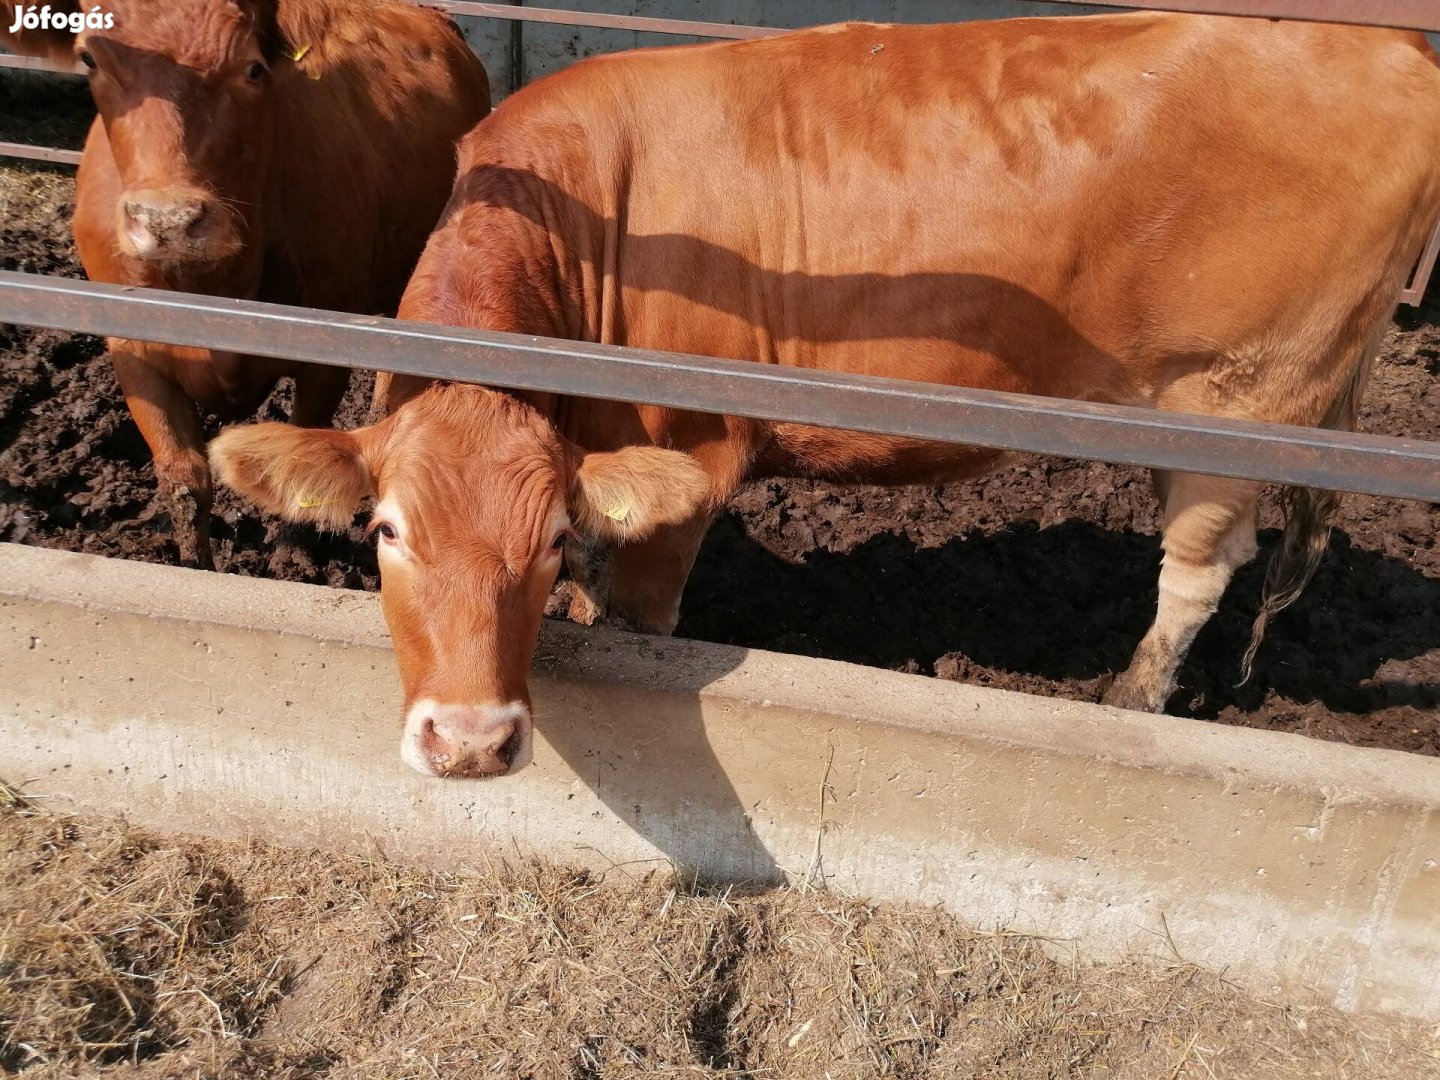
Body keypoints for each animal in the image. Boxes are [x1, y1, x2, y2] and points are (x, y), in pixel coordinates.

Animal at [1, 0, 489, 570]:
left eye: (253, 68)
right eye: (89, 60)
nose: (168, 219)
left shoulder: (325, 351)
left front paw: (292, 559)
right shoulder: (132, 351)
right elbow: (184, 478)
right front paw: (196, 567)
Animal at [210, 14, 1440, 777]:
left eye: (544, 535)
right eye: (385, 531)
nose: (468, 741)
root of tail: (1386, 49)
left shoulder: (698, 459)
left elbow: (644, 615)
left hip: (1246, 395)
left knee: (1196, 569)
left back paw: (1129, 702)